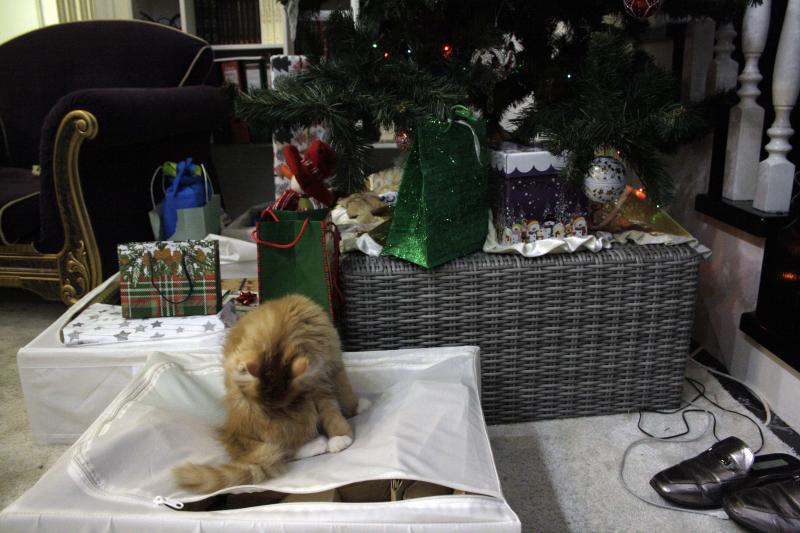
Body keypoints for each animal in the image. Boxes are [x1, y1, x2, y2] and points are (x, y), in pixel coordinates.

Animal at [174, 293, 368, 493]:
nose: (282, 410)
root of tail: (234, 432)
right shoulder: (315, 387)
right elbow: (335, 408)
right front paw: (342, 436)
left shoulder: (332, 367)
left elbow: (343, 394)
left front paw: (352, 413)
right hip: (294, 413)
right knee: (285, 450)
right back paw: (315, 445)